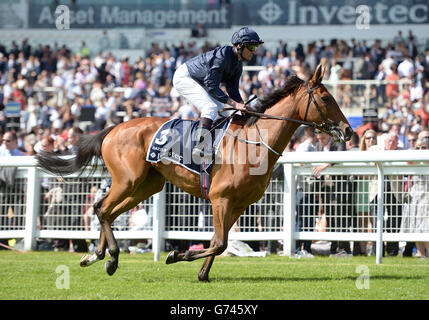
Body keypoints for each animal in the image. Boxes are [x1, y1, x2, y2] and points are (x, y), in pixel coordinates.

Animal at [36, 63, 352, 282]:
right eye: (325, 98)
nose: (348, 130)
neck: (253, 142)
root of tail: (114, 128)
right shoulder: (220, 199)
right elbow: (219, 243)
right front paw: (178, 254)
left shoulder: (238, 204)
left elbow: (218, 243)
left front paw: (201, 272)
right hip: (128, 180)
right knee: (102, 208)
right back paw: (110, 257)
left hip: (146, 186)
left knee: (107, 212)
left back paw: (97, 256)